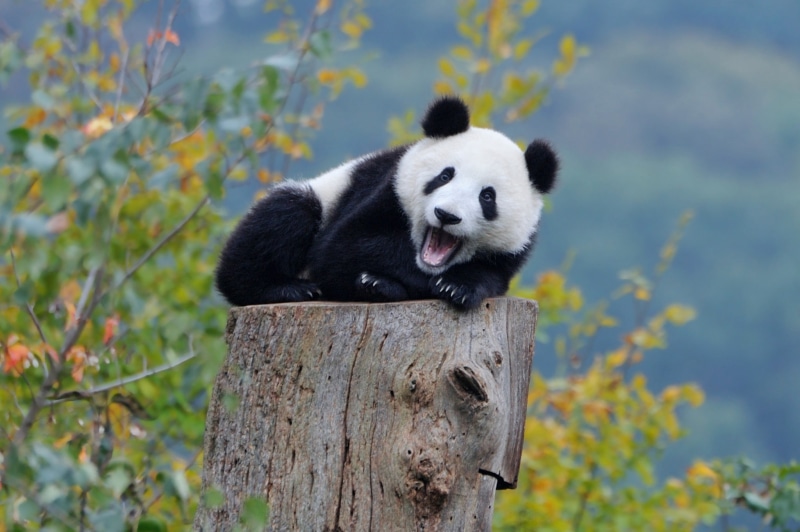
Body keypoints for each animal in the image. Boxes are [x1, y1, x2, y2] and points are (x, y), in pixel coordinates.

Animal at [215, 96, 558, 310]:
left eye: (487, 196)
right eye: (445, 175)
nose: (446, 215)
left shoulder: (513, 250)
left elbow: (491, 276)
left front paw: (456, 287)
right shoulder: (383, 190)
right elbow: (343, 247)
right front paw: (399, 280)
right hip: (319, 198)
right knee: (285, 217)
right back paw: (289, 288)